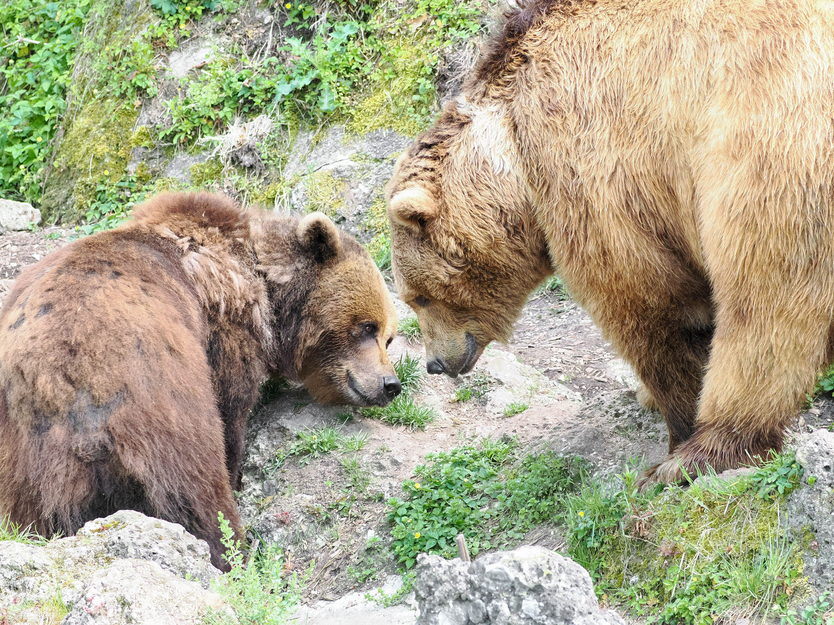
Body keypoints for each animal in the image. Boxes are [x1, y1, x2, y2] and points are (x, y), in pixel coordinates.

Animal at [0, 193, 400, 568]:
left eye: (389, 337)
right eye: (368, 327)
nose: (390, 385)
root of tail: (50, 376)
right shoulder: (224, 334)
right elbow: (232, 413)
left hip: (22, 454)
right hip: (156, 392)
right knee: (194, 482)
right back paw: (229, 552)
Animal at [384, 0, 832, 482]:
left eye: (419, 297)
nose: (435, 364)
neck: (513, 153)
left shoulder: (599, 164)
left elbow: (650, 305)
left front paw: (674, 423)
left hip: (769, 148)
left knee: (764, 302)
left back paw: (705, 451)